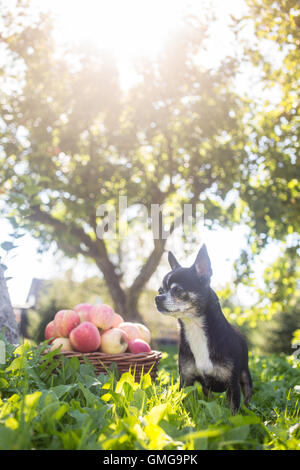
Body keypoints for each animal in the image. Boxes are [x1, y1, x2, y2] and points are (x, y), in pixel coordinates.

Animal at [156, 244, 252, 414]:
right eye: (160, 291)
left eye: (177, 290)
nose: (157, 298)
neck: (195, 328)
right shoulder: (186, 380)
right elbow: (183, 401)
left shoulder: (232, 385)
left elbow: (232, 412)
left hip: (246, 377)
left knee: (247, 397)